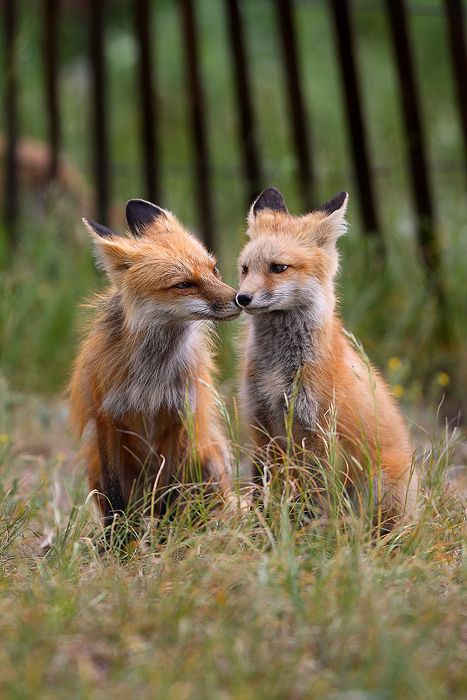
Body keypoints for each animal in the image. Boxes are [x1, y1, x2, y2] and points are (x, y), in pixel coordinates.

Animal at [69, 197, 241, 524]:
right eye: (184, 284)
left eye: (214, 269)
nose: (241, 299)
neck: (152, 375)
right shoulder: (107, 418)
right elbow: (116, 500)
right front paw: (119, 539)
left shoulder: (181, 415)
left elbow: (170, 495)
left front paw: (168, 536)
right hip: (98, 468)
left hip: (210, 462)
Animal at [238, 186, 416, 524]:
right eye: (244, 268)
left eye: (278, 268)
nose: (241, 298)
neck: (278, 368)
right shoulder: (261, 424)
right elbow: (261, 487)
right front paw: (261, 527)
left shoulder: (318, 431)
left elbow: (314, 493)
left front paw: (304, 531)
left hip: (380, 484)